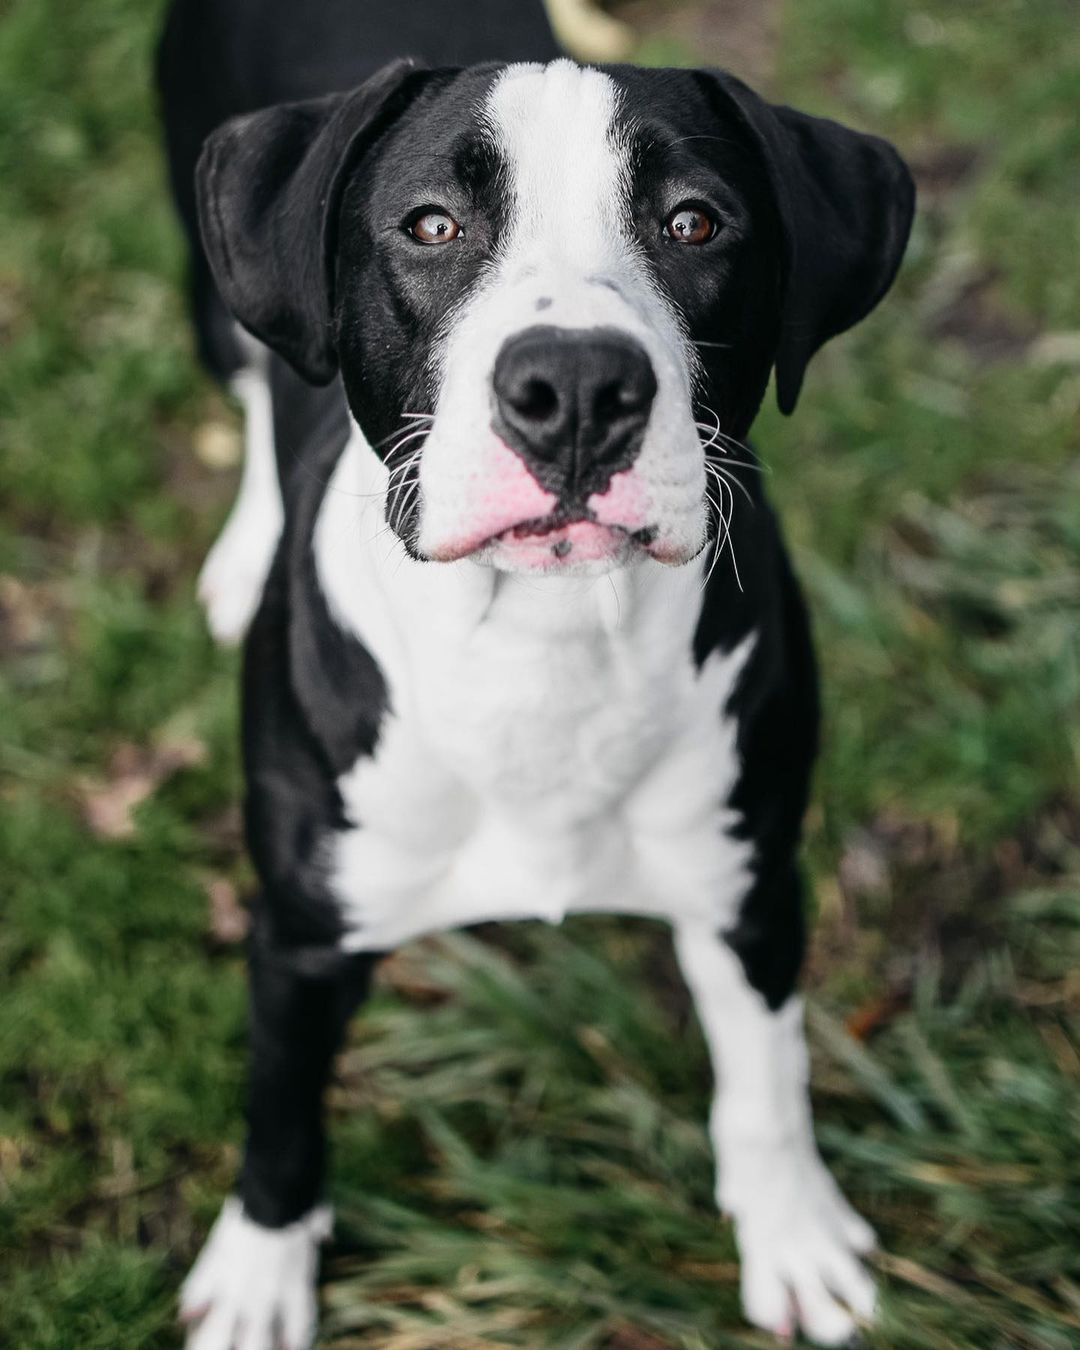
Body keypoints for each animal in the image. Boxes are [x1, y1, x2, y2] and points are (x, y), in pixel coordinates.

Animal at [160, 5, 918, 1344]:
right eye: (429, 225)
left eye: (694, 221)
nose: (574, 388)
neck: (546, 647)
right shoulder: (299, 938)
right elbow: (282, 1113)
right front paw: (259, 1271)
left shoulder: (751, 889)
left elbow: (767, 1080)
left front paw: (795, 1233)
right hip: (213, 289)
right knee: (259, 374)